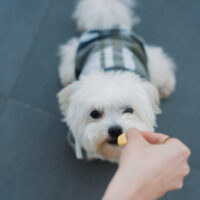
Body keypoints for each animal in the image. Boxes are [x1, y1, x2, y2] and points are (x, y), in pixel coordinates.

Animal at [57, 0, 175, 162]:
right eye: (95, 113)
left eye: (129, 110)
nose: (115, 130)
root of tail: (107, 26)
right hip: (76, 55)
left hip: (147, 55)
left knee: (159, 63)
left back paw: (164, 87)